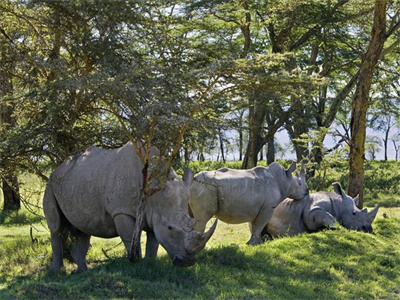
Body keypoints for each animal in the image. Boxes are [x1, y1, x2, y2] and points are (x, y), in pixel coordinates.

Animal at [43, 142, 216, 270]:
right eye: (170, 228)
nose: (188, 262)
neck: (153, 192)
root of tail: (59, 167)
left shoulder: (155, 215)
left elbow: (153, 243)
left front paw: (149, 264)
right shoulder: (121, 211)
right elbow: (130, 238)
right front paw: (135, 263)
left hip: (77, 182)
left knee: (84, 229)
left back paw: (83, 272)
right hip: (51, 183)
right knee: (56, 227)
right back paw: (57, 271)